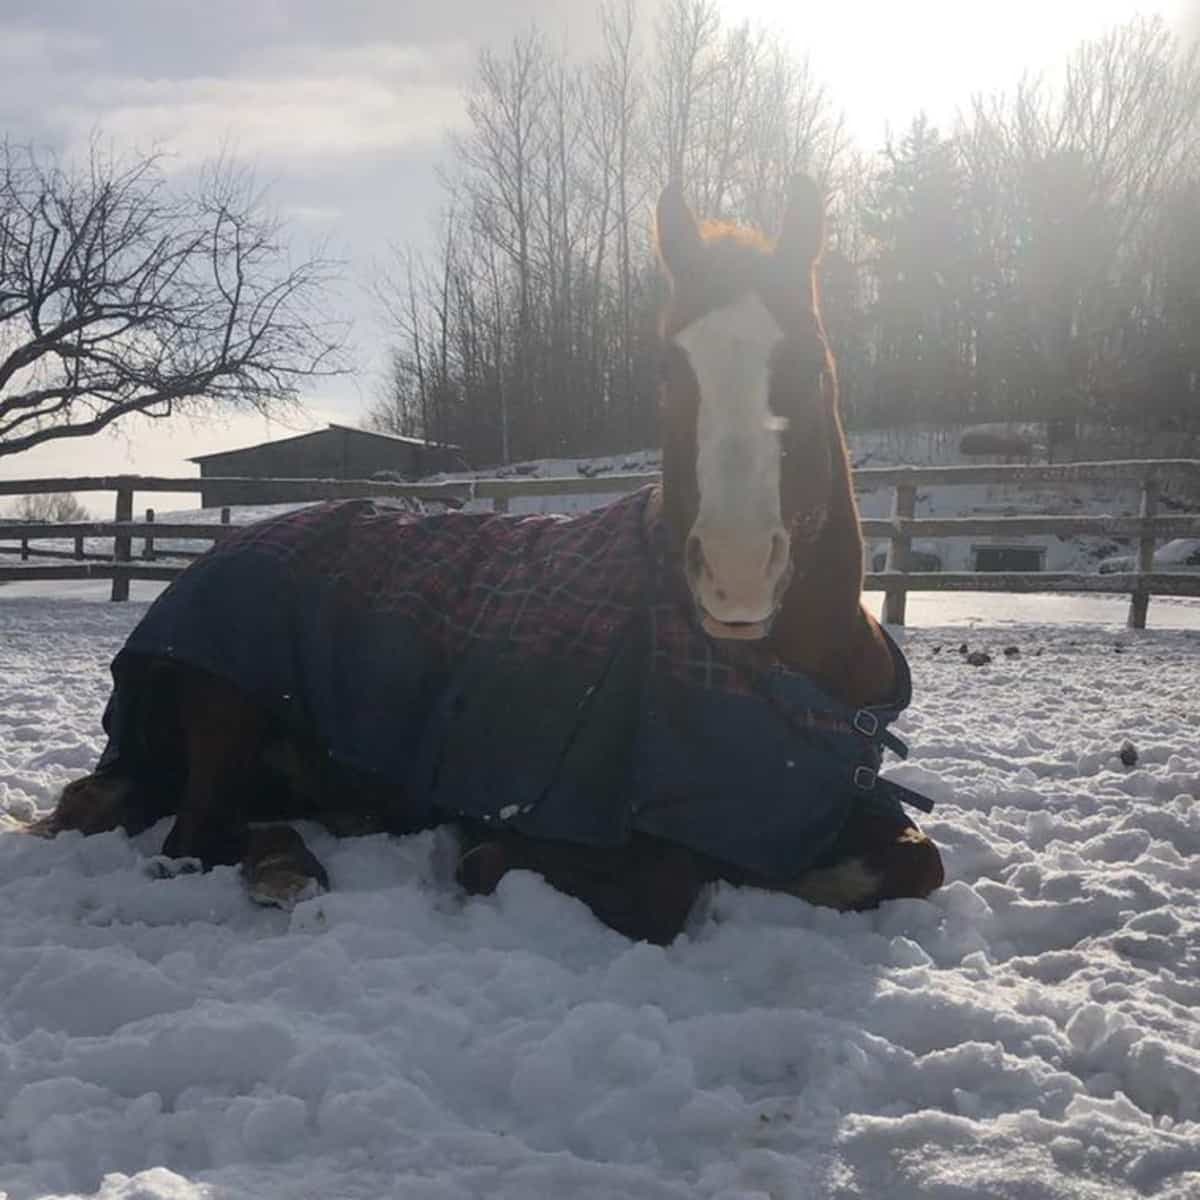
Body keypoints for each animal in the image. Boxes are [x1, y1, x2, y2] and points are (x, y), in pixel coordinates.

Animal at [26, 177, 944, 944]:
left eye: (815, 364)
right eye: (665, 370)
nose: (737, 569)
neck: (778, 678)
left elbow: (918, 861)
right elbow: (647, 887)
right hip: (229, 706)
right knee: (195, 835)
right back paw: (290, 869)